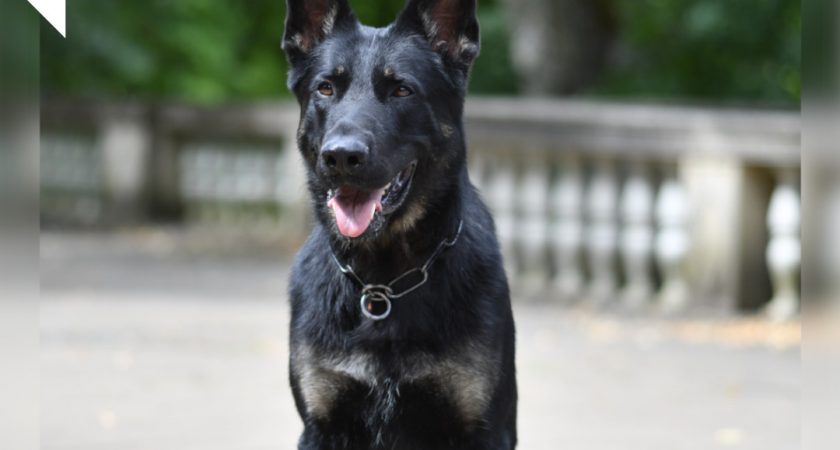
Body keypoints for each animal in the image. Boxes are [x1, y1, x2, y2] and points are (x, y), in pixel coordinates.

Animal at [283, 0, 517, 448]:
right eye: (326, 88)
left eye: (402, 90)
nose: (341, 157)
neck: (383, 284)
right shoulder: (320, 426)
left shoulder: (484, 429)